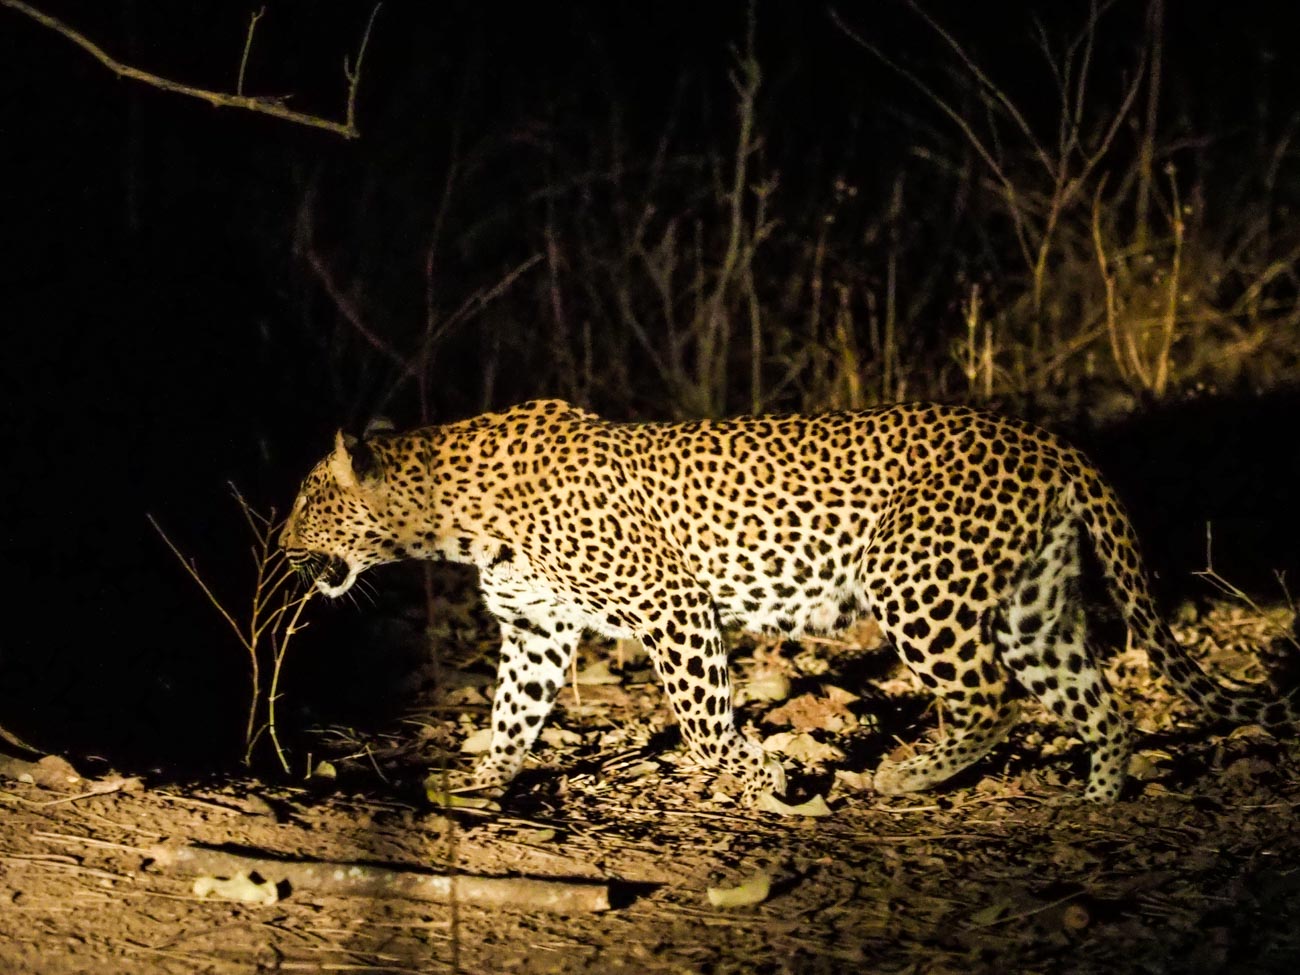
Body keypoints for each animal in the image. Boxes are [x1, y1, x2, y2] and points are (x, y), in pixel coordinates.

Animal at [279, 399, 1296, 803]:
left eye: (304, 502)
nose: (279, 546)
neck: (449, 520)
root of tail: (1049, 441)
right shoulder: (536, 630)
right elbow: (513, 713)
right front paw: (486, 778)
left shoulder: (673, 604)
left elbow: (703, 717)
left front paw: (755, 770)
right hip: (1030, 604)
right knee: (1096, 697)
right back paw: (1099, 796)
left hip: (915, 580)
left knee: (988, 698)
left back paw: (912, 774)